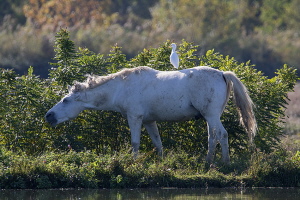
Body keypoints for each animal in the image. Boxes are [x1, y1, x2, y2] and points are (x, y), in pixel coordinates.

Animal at [45, 66, 256, 163]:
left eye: (65, 100)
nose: (49, 116)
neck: (120, 88)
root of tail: (222, 74)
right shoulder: (149, 121)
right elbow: (158, 143)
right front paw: (161, 164)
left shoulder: (135, 118)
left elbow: (135, 143)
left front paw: (133, 162)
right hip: (209, 117)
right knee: (212, 138)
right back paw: (207, 162)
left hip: (211, 116)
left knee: (222, 135)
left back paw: (225, 162)